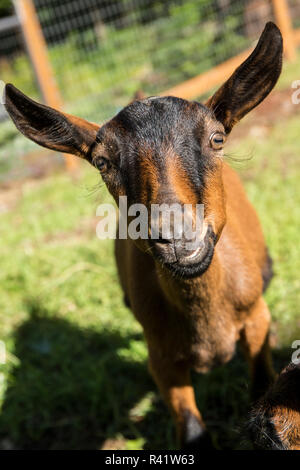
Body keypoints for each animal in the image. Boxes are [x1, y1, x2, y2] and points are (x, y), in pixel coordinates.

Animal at [3, 23, 282, 450]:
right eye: (102, 162)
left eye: (217, 139)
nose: (177, 234)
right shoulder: (161, 358)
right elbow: (193, 433)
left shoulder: (256, 320)